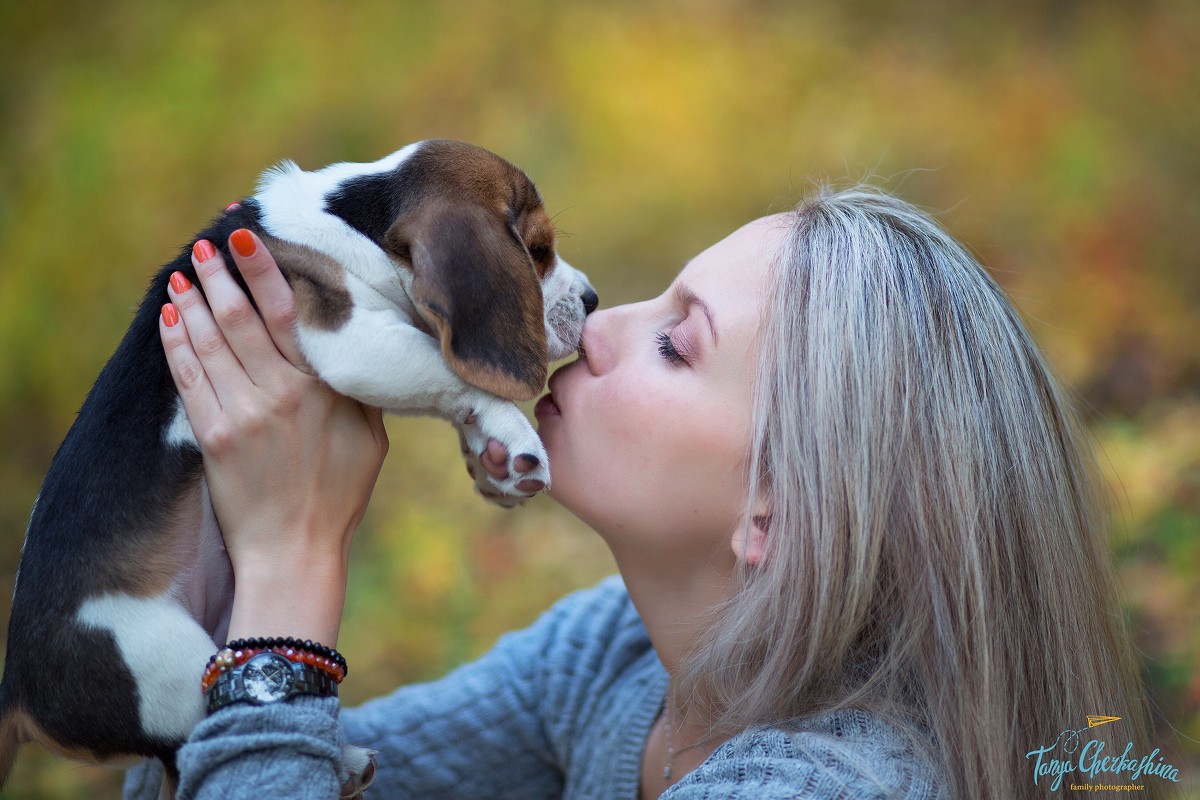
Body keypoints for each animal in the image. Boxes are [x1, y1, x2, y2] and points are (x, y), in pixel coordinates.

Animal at [0, 140, 597, 796]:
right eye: (537, 251)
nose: (593, 299)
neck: (354, 215)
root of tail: (15, 694)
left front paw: (493, 459)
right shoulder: (353, 338)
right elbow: (449, 373)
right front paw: (513, 431)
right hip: (162, 659)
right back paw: (346, 760)